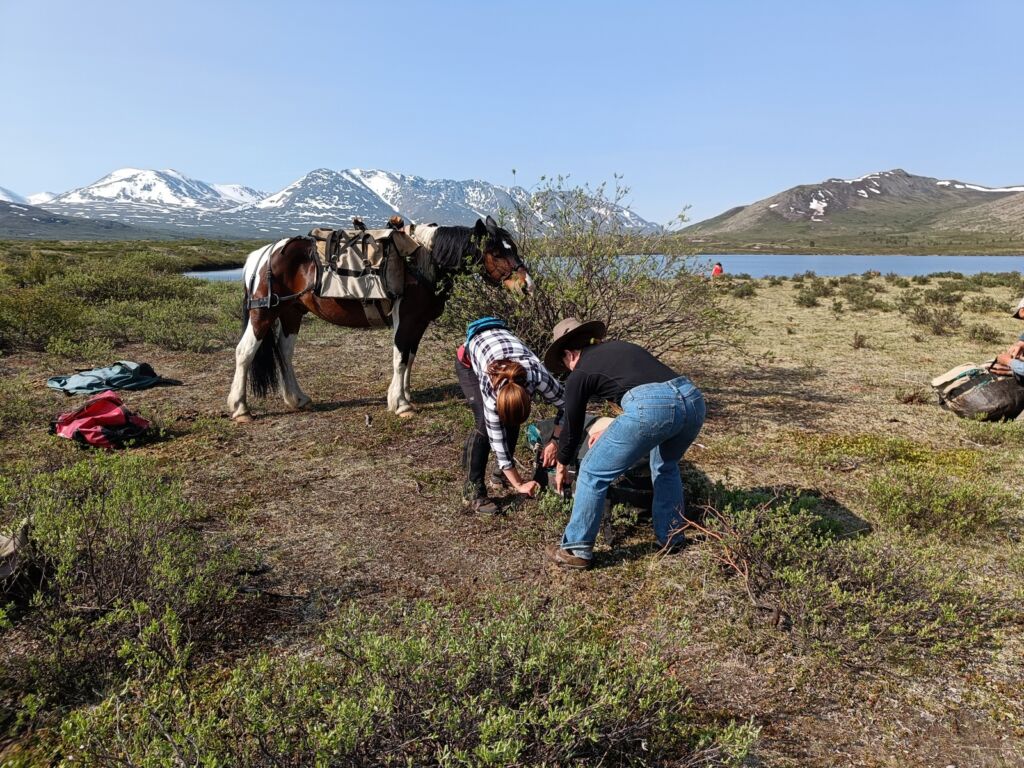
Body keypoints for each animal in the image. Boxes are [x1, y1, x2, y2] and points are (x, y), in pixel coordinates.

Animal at [228, 217, 532, 421]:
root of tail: (262, 255)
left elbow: (409, 356)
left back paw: (297, 398)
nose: (526, 285)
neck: (422, 262)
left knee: (284, 351)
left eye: (514, 248)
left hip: (291, 313)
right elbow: (400, 358)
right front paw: (400, 404)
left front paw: (405, 394)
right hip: (264, 313)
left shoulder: (418, 322)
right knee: (245, 352)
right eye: (496, 252)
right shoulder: (405, 319)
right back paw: (241, 408)